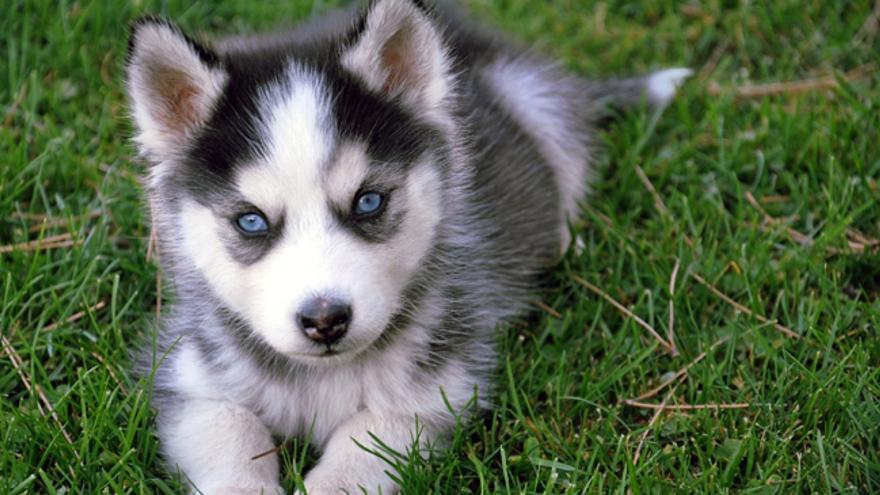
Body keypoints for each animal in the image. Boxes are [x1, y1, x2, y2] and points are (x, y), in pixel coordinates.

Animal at [125, 0, 688, 492]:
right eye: (250, 220)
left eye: (369, 201)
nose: (325, 320)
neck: (325, 375)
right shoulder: (190, 377)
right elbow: (231, 434)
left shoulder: (435, 391)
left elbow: (361, 447)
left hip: (538, 103)